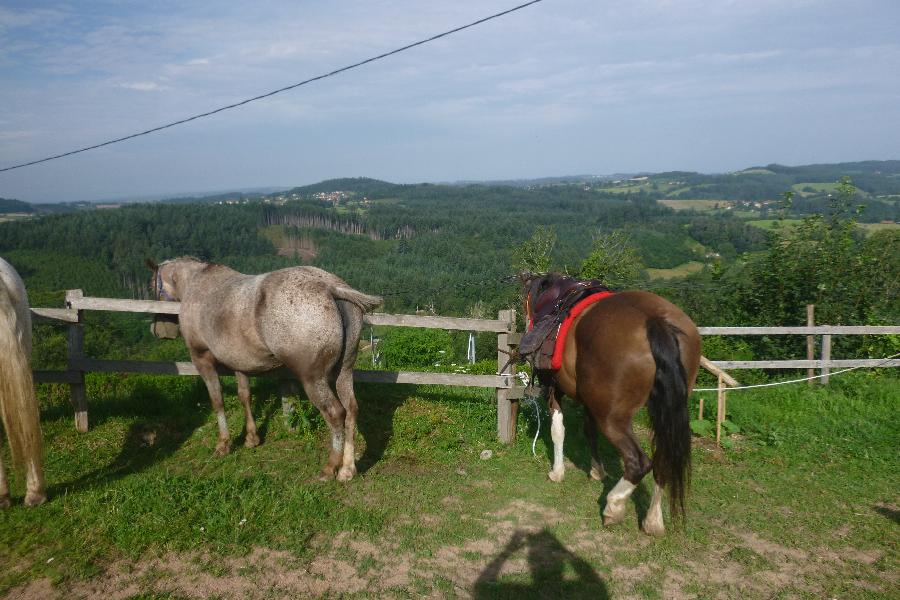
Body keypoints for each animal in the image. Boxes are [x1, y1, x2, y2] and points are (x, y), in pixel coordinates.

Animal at [148, 255, 380, 480]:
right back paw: (347, 469)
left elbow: (217, 401)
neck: (198, 283)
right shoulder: (240, 363)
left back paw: (330, 467)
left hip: (313, 378)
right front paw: (251, 437)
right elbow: (244, 396)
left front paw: (223, 443)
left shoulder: (201, 359)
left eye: (152, 287)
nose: (159, 330)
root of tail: (330, 286)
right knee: (351, 410)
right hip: (344, 372)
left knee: (335, 413)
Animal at [520, 272, 704, 536]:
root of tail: (655, 321)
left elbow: (557, 430)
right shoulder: (589, 401)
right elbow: (589, 431)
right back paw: (653, 521)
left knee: (639, 462)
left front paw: (557, 472)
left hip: (612, 417)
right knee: (662, 460)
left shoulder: (554, 389)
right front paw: (597, 470)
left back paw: (614, 507)